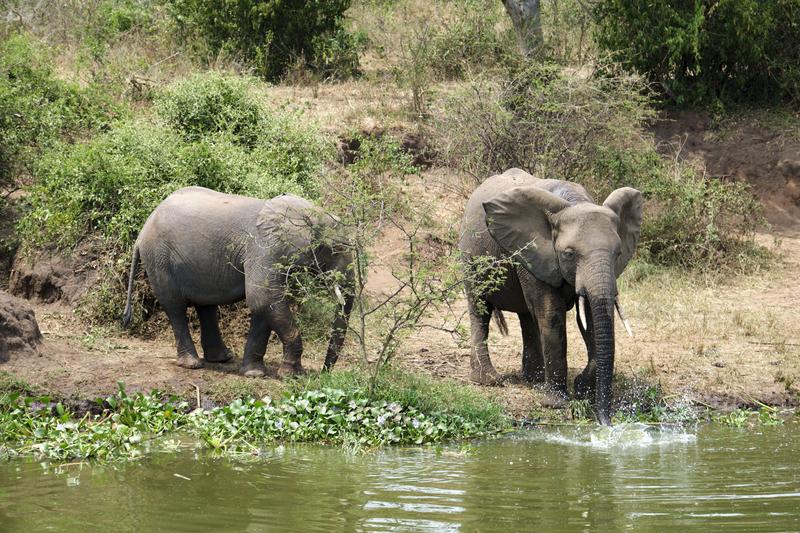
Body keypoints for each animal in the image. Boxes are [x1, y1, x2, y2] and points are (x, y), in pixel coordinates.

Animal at [122, 187, 354, 378]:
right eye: (334, 250)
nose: (324, 372)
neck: (309, 211)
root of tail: (142, 231)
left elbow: (264, 306)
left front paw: (254, 374)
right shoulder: (263, 249)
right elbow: (262, 299)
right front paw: (292, 375)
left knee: (205, 306)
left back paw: (222, 358)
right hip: (158, 258)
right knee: (175, 307)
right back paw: (193, 364)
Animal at [460, 168, 640, 422]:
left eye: (618, 253)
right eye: (568, 254)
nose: (604, 421)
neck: (575, 202)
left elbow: (589, 317)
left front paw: (583, 390)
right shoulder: (533, 251)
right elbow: (550, 313)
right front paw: (556, 403)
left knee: (526, 316)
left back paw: (533, 379)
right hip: (470, 256)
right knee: (480, 310)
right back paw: (489, 380)